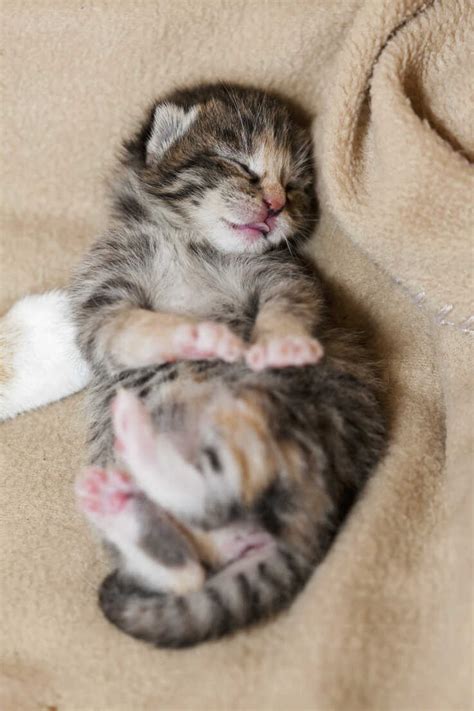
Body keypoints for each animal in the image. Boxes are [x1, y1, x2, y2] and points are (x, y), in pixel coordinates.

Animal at [72, 80, 386, 648]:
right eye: (241, 165)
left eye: (296, 185)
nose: (277, 205)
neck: (188, 241)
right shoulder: (102, 293)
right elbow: (126, 329)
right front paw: (190, 333)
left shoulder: (282, 272)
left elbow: (290, 303)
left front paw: (281, 342)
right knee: (191, 569)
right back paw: (128, 506)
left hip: (281, 420)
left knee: (217, 506)